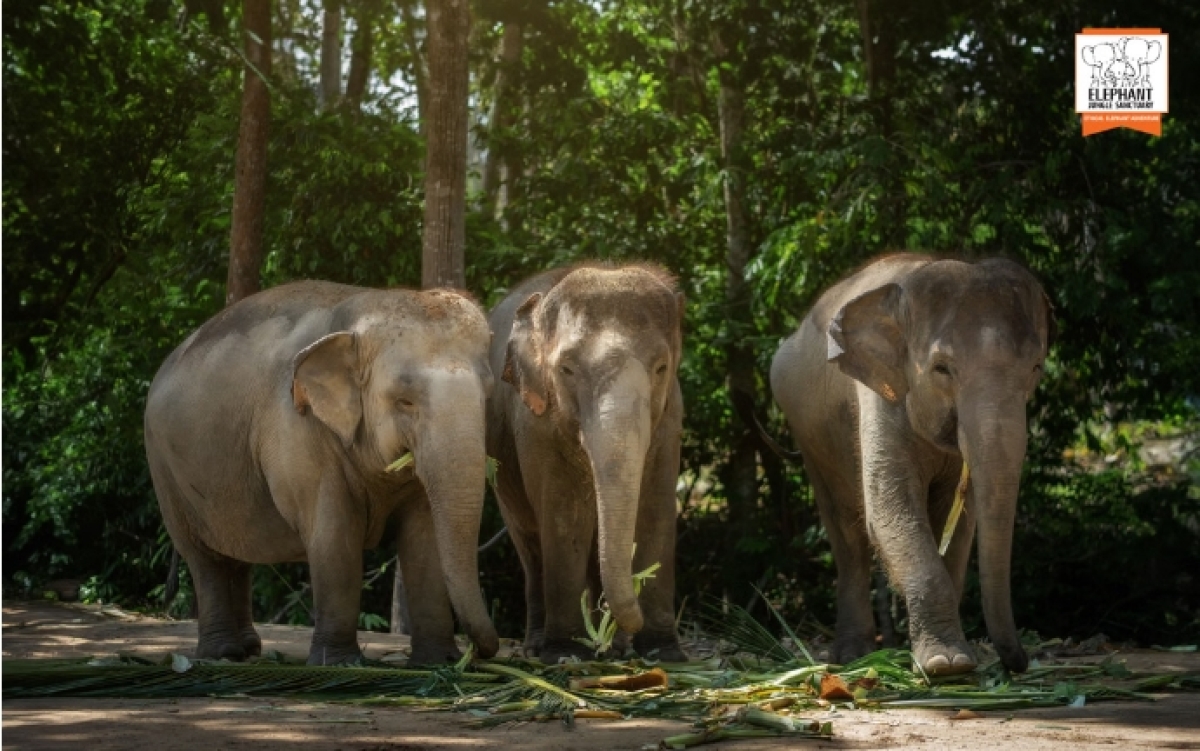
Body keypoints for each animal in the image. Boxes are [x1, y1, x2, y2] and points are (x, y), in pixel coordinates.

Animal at [144, 281, 500, 666]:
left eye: (488, 394)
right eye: (405, 401)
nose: (480, 653)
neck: (355, 314)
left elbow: (424, 539)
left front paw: (438, 662)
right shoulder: (298, 430)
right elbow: (334, 537)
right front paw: (341, 662)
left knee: (235, 556)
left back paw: (248, 649)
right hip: (165, 470)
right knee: (204, 558)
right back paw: (222, 652)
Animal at [487, 263, 687, 663]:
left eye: (661, 367)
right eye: (566, 369)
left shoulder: (671, 417)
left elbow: (656, 511)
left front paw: (664, 654)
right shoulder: (535, 425)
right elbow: (563, 518)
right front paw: (565, 653)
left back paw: (612, 648)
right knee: (530, 546)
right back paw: (541, 647)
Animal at [768, 254, 1053, 675]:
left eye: (1035, 368)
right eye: (942, 369)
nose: (1019, 662)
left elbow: (960, 523)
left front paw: (945, 657)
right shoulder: (879, 394)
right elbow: (891, 508)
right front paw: (946, 665)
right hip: (807, 431)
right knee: (846, 532)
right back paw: (854, 657)